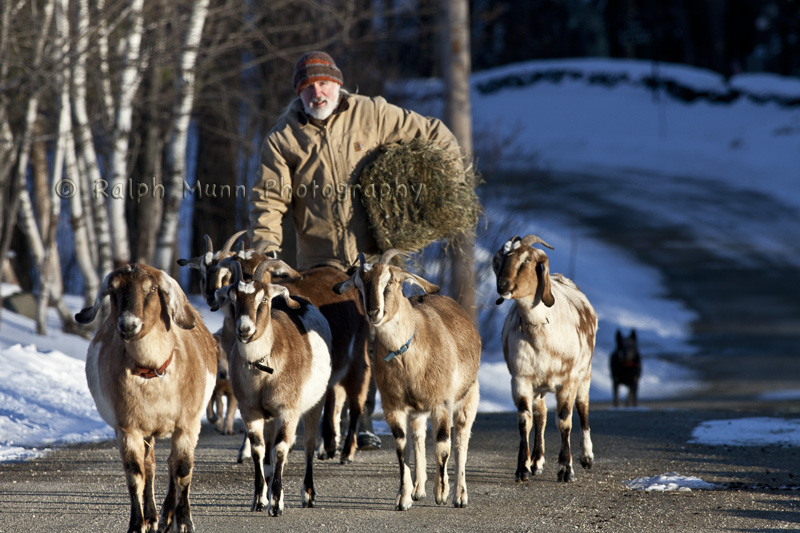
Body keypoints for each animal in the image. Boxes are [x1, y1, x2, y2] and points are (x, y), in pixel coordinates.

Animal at [75, 262, 217, 532]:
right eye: (113, 290)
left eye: (151, 288)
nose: (128, 325)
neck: (153, 372)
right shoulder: (128, 428)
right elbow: (135, 473)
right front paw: (136, 524)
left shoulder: (187, 424)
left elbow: (183, 470)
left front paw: (184, 522)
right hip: (146, 430)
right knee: (150, 466)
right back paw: (153, 518)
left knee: (171, 464)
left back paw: (168, 516)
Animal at [212, 260, 332, 512]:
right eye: (232, 299)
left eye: (264, 299)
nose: (245, 330)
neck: (264, 370)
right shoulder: (251, 411)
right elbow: (258, 450)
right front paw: (259, 498)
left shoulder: (288, 410)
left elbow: (281, 448)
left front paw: (277, 503)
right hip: (269, 417)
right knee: (266, 452)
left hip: (315, 404)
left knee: (308, 445)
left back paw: (308, 495)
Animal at [332, 251, 482, 510]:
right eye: (358, 287)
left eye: (389, 282)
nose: (373, 313)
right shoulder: (394, 406)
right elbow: (402, 448)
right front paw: (403, 498)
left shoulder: (442, 403)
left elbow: (442, 446)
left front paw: (441, 493)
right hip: (417, 411)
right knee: (418, 437)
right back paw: (418, 490)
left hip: (469, 396)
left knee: (461, 440)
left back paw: (460, 496)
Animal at [490, 235, 596, 484]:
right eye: (500, 259)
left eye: (527, 259)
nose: (503, 285)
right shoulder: (521, 379)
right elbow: (525, 420)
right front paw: (522, 469)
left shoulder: (567, 380)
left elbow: (565, 420)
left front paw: (566, 469)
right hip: (539, 385)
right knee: (541, 416)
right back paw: (536, 461)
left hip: (585, 373)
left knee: (583, 407)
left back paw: (587, 456)